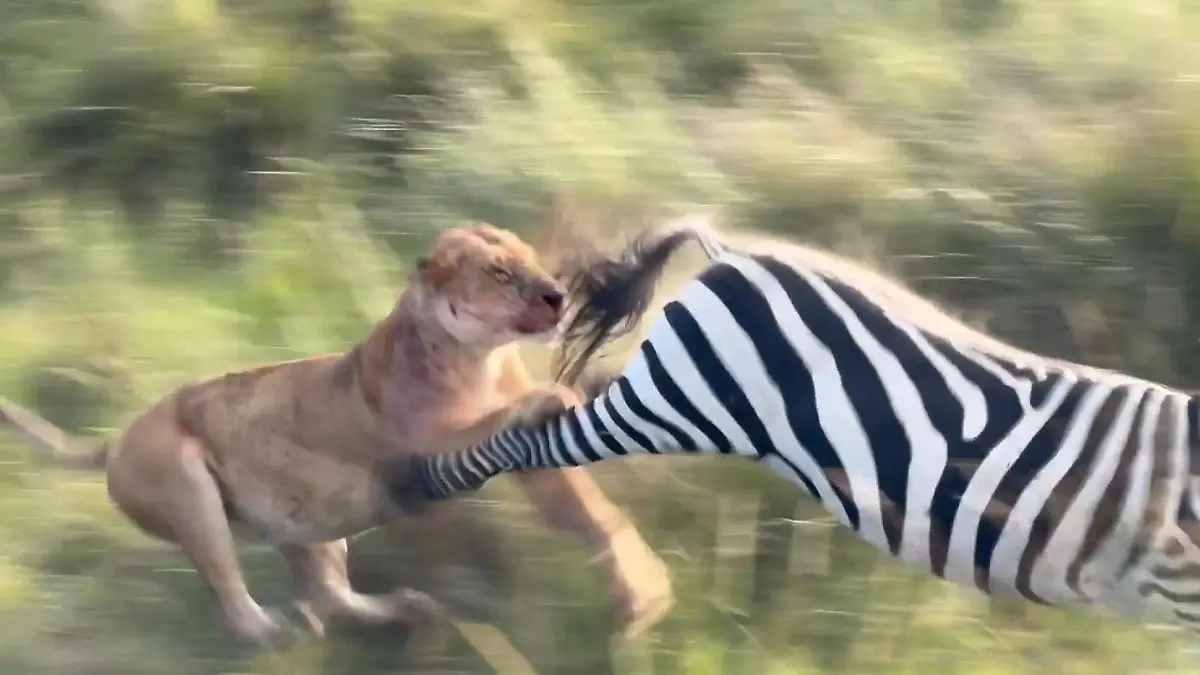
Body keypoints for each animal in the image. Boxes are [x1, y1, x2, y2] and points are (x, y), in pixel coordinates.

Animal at [393, 217, 1200, 631]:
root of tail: (737, 252)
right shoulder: (1180, 586)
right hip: (671, 402)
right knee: (536, 434)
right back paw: (419, 483)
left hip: (664, 391)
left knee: (562, 400)